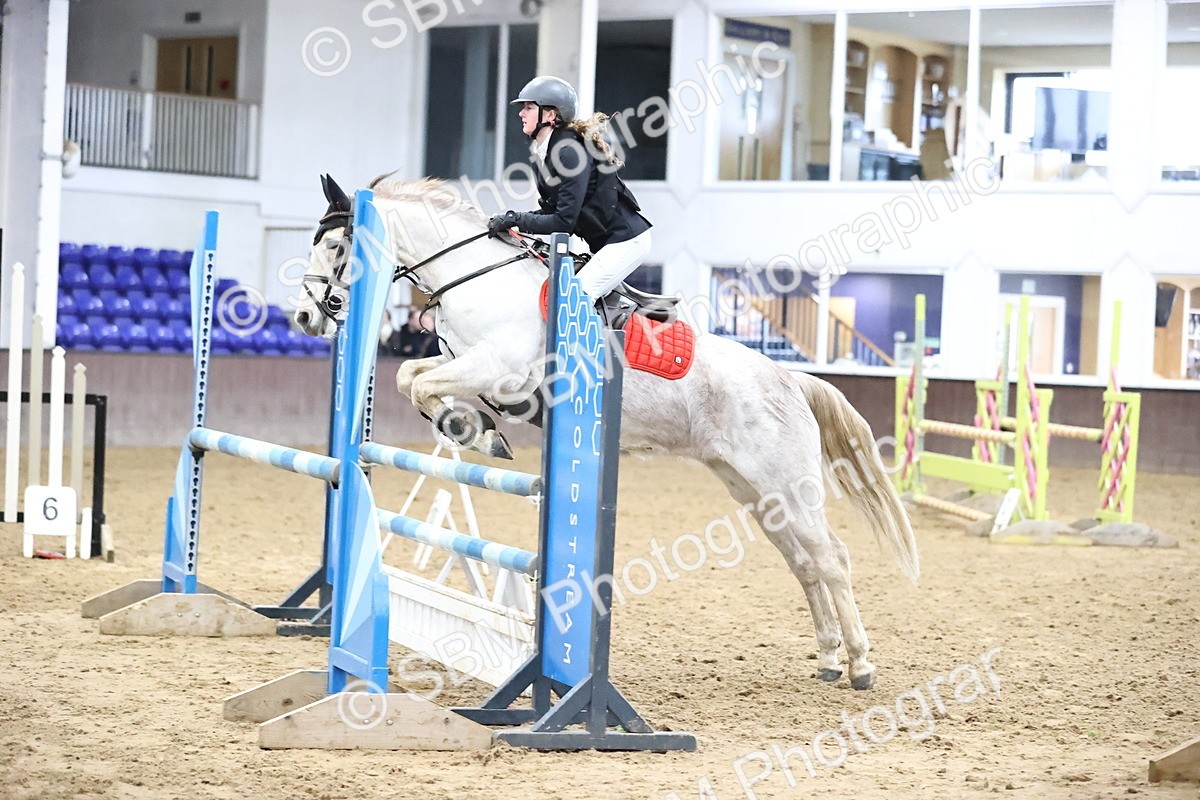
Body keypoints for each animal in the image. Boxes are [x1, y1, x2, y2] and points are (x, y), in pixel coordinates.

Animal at [294, 174, 919, 691]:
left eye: (336, 247)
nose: (305, 317)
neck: (474, 277)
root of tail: (790, 379)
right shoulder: (462, 361)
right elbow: (411, 376)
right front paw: (476, 428)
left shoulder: (496, 366)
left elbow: (420, 383)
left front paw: (471, 429)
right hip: (756, 491)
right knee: (805, 563)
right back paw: (830, 659)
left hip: (786, 485)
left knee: (832, 558)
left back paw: (861, 665)